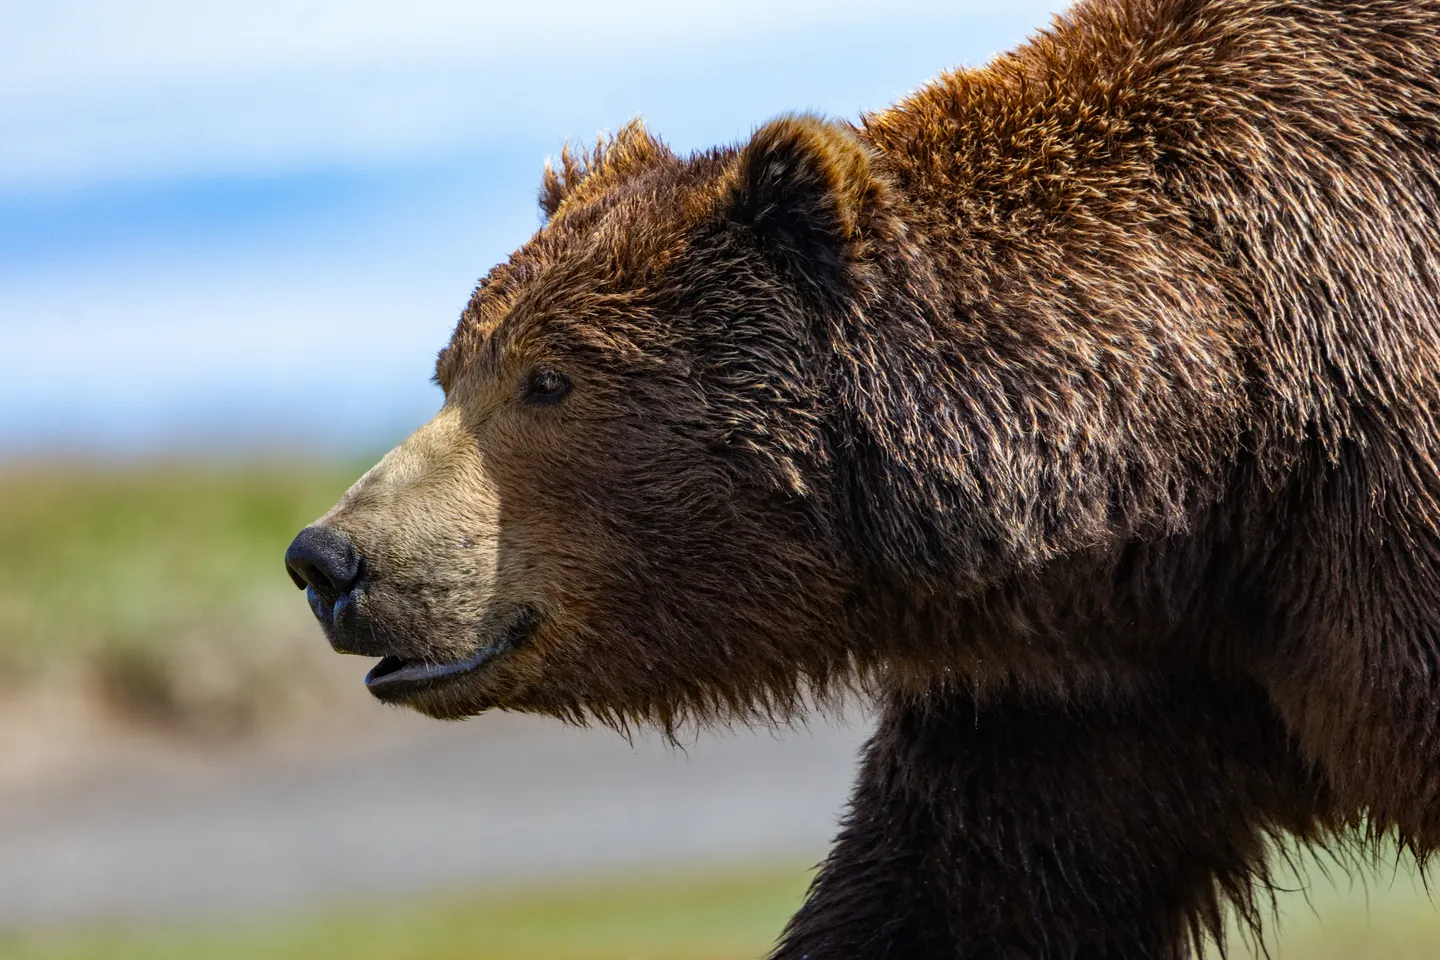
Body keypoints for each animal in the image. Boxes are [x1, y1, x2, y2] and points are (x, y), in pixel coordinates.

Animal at [283, 0, 1440, 955]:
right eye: (450, 371)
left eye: (549, 380)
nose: (328, 558)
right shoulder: (1099, 690)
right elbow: (957, 887)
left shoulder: (1363, 545)